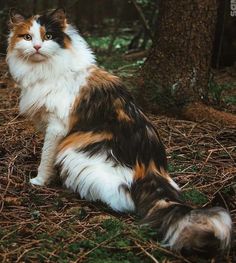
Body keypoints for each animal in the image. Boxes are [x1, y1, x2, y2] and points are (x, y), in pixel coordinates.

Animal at [6, 8, 232, 258]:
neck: (45, 69)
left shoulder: (57, 127)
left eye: (48, 37)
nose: (37, 47)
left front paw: (39, 181)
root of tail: (152, 167)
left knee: (123, 200)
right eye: (28, 37)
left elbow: (46, 158)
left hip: (76, 156)